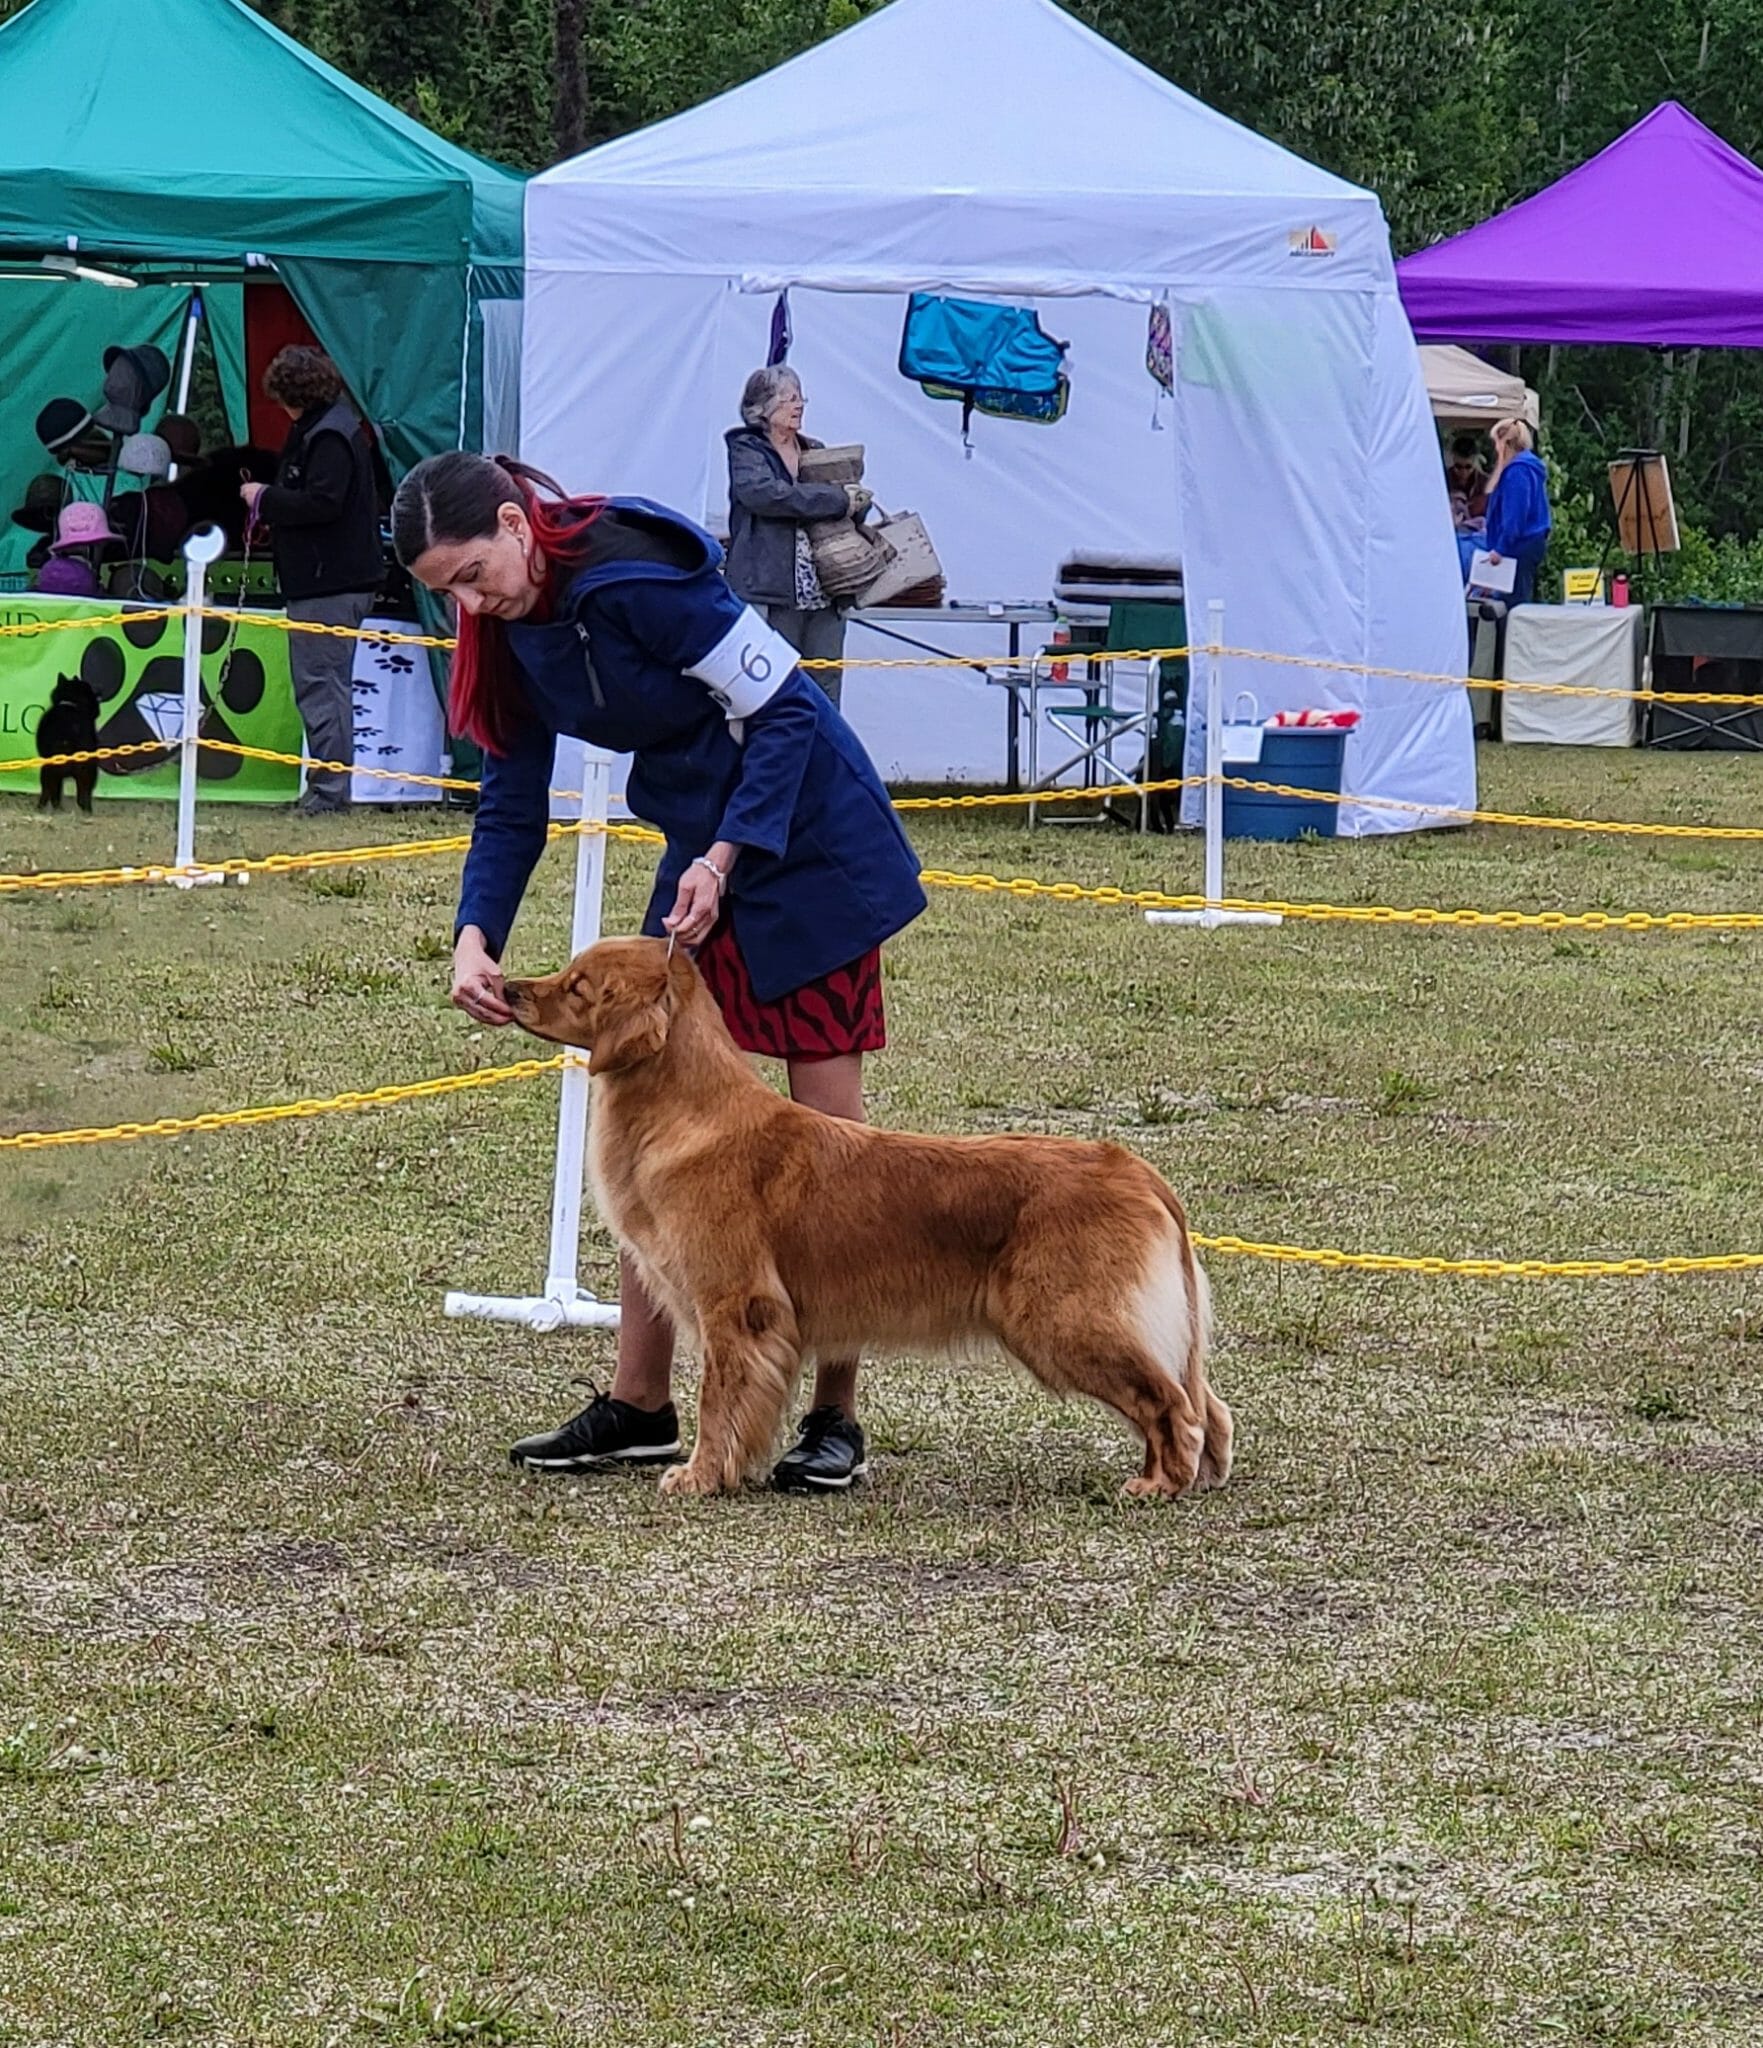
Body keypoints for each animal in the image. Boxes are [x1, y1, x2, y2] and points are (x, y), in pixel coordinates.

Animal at [34, 673, 101, 813]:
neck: (70, 703)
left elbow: (49, 790)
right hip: (88, 771)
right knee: (84, 793)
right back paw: (86, 810)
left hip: (51, 769)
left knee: (51, 791)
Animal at [503, 937, 1232, 1501]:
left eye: (578, 987)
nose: (508, 988)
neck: (686, 1109)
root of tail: (1133, 1169)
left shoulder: (736, 1308)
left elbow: (718, 1400)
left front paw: (700, 1477)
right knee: (1207, 1407)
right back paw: (1194, 1474)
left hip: (1064, 1320)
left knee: (1172, 1404)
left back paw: (1158, 1484)